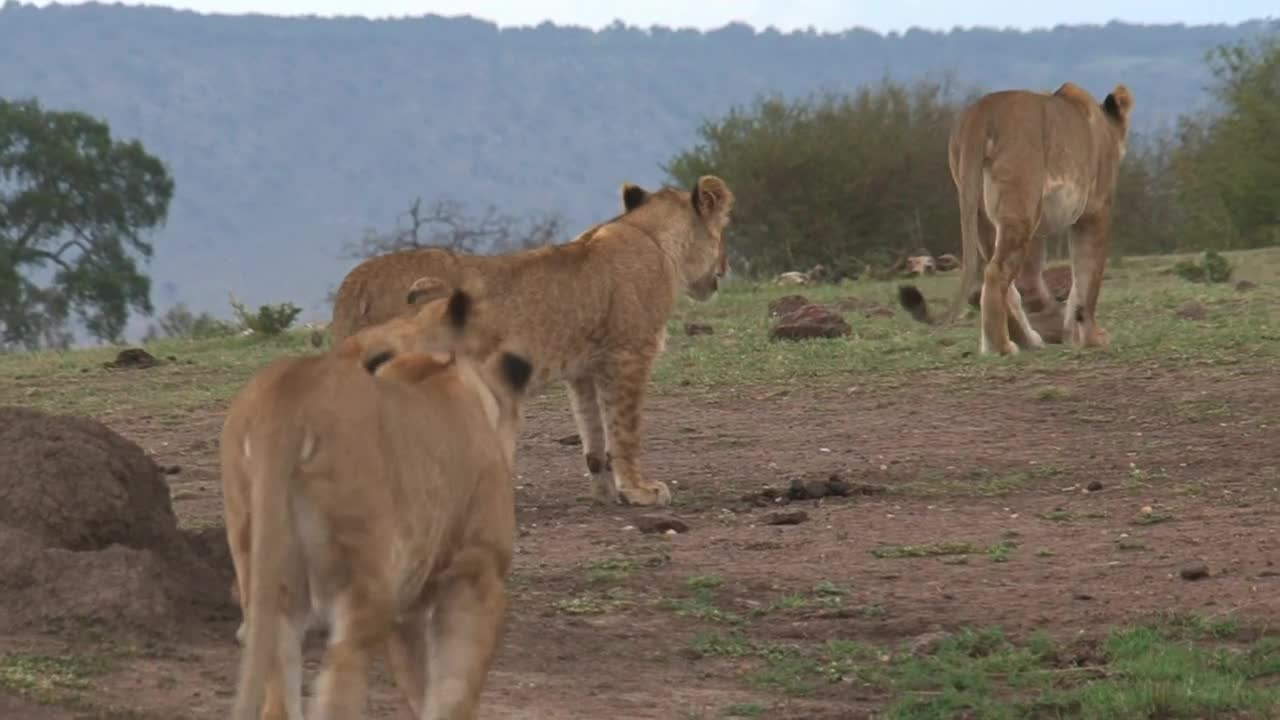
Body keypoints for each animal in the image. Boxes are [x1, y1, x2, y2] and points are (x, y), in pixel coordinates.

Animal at [223, 289, 534, 720]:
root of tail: (289, 392)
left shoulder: (409, 611)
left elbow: (424, 688)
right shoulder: (477, 572)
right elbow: (455, 692)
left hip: (270, 580)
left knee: (278, 701)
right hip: (366, 580)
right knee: (339, 685)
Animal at [897, 82, 1133, 355]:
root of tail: (982, 111)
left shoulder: (1039, 229)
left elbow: (1035, 282)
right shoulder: (1095, 212)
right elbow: (1088, 279)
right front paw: (1091, 338)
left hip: (986, 215)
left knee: (1004, 285)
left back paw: (1024, 341)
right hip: (1020, 208)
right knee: (996, 273)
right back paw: (1002, 347)